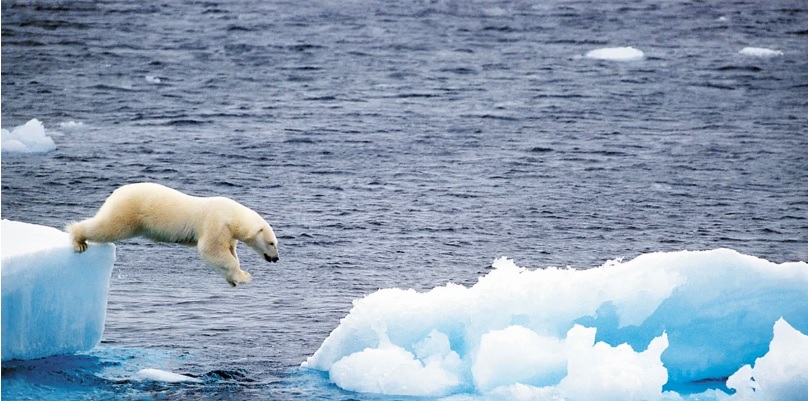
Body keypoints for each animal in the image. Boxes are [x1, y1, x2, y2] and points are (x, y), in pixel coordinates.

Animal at [67, 182, 279, 287]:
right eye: (271, 243)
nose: (276, 258)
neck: (233, 215)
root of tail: (117, 192)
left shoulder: (228, 233)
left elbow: (226, 253)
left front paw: (233, 279)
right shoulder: (215, 223)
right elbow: (211, 249)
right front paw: (244, 277)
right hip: (129, 211)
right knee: (108, 227)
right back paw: (78, 240)